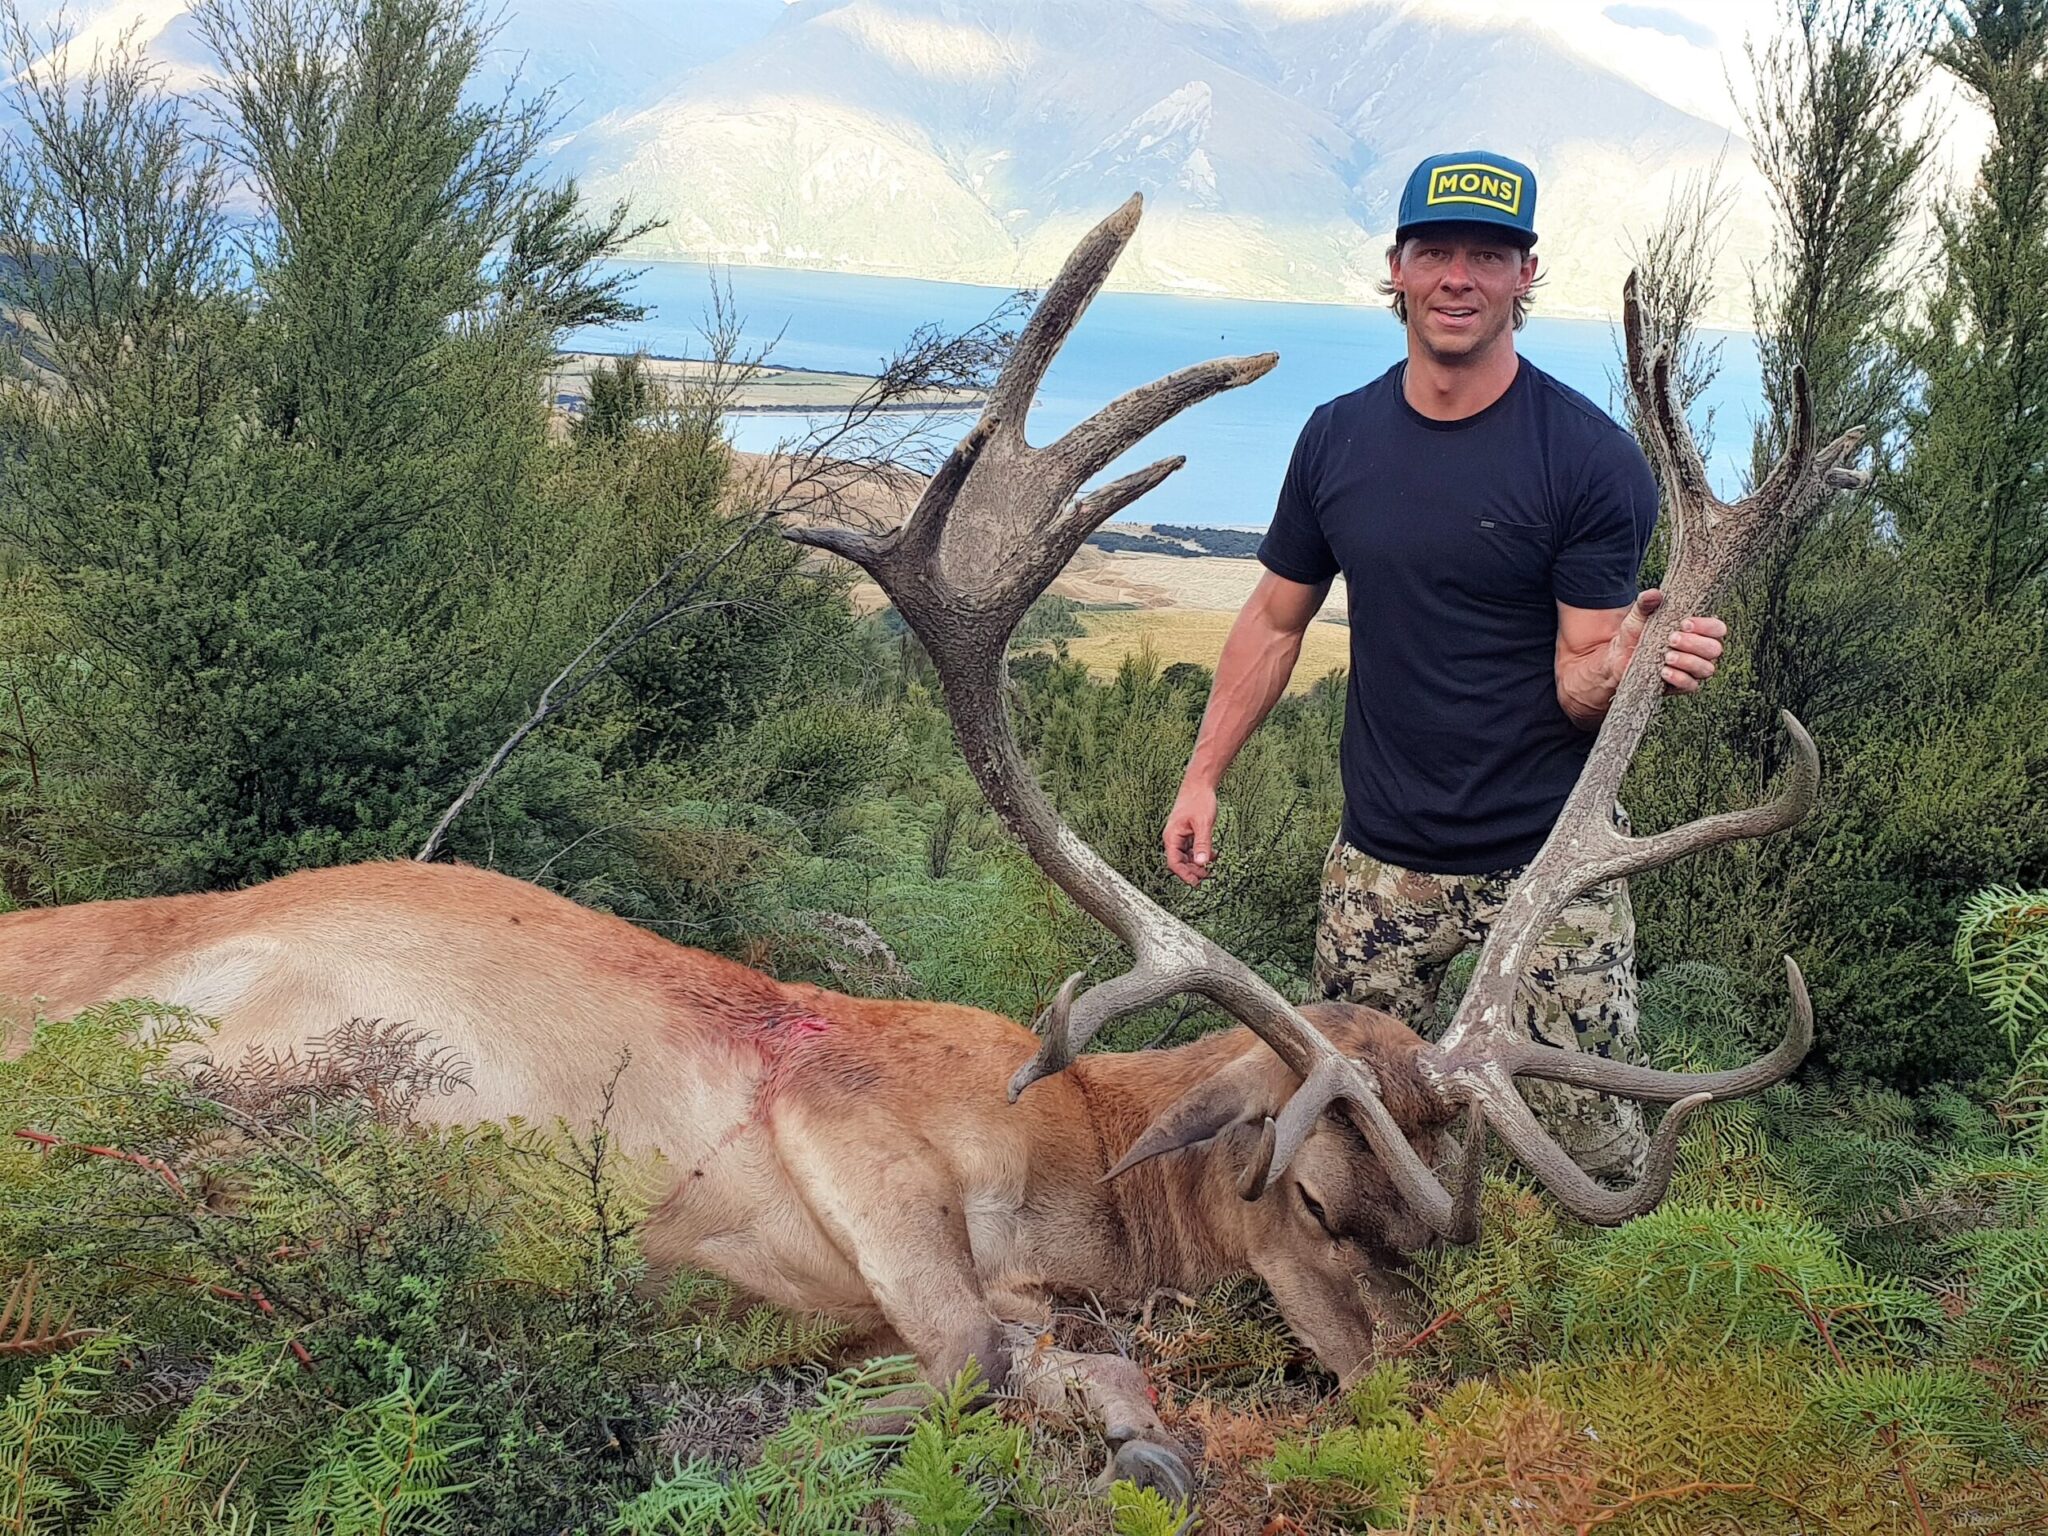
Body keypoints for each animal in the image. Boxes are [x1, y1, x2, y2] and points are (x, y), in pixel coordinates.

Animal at [0, 196, 1864, 1495]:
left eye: (1443, 1236)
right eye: (1322, 1208)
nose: (1441, 1384)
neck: (1085, 1179)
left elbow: (1026, 1342)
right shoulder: (846, 1120)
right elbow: (970, 1343)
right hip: (244, 1066)